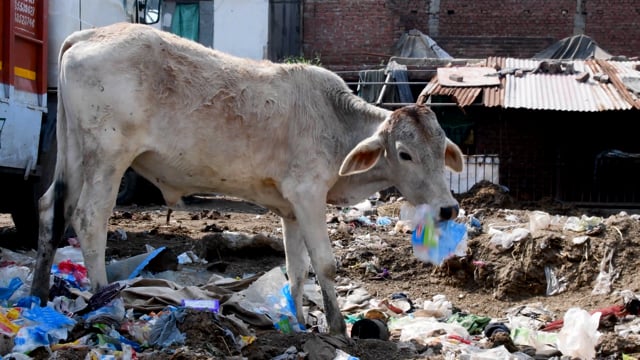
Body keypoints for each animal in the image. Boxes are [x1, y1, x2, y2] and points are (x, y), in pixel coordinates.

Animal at [32, 23, 462, 338]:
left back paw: (38, 295)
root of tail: (86, 35)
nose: (448, 208)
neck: (335, 121)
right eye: (404, 154)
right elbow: (324, 265)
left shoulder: (291, 209)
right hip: (108, 157)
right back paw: (108, 305)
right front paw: (338, 328)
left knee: (52, 209)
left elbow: (296, 270)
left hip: (73, 151)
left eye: (442, 148)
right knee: (90, 218)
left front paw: (301, 323)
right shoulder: (308, 195)